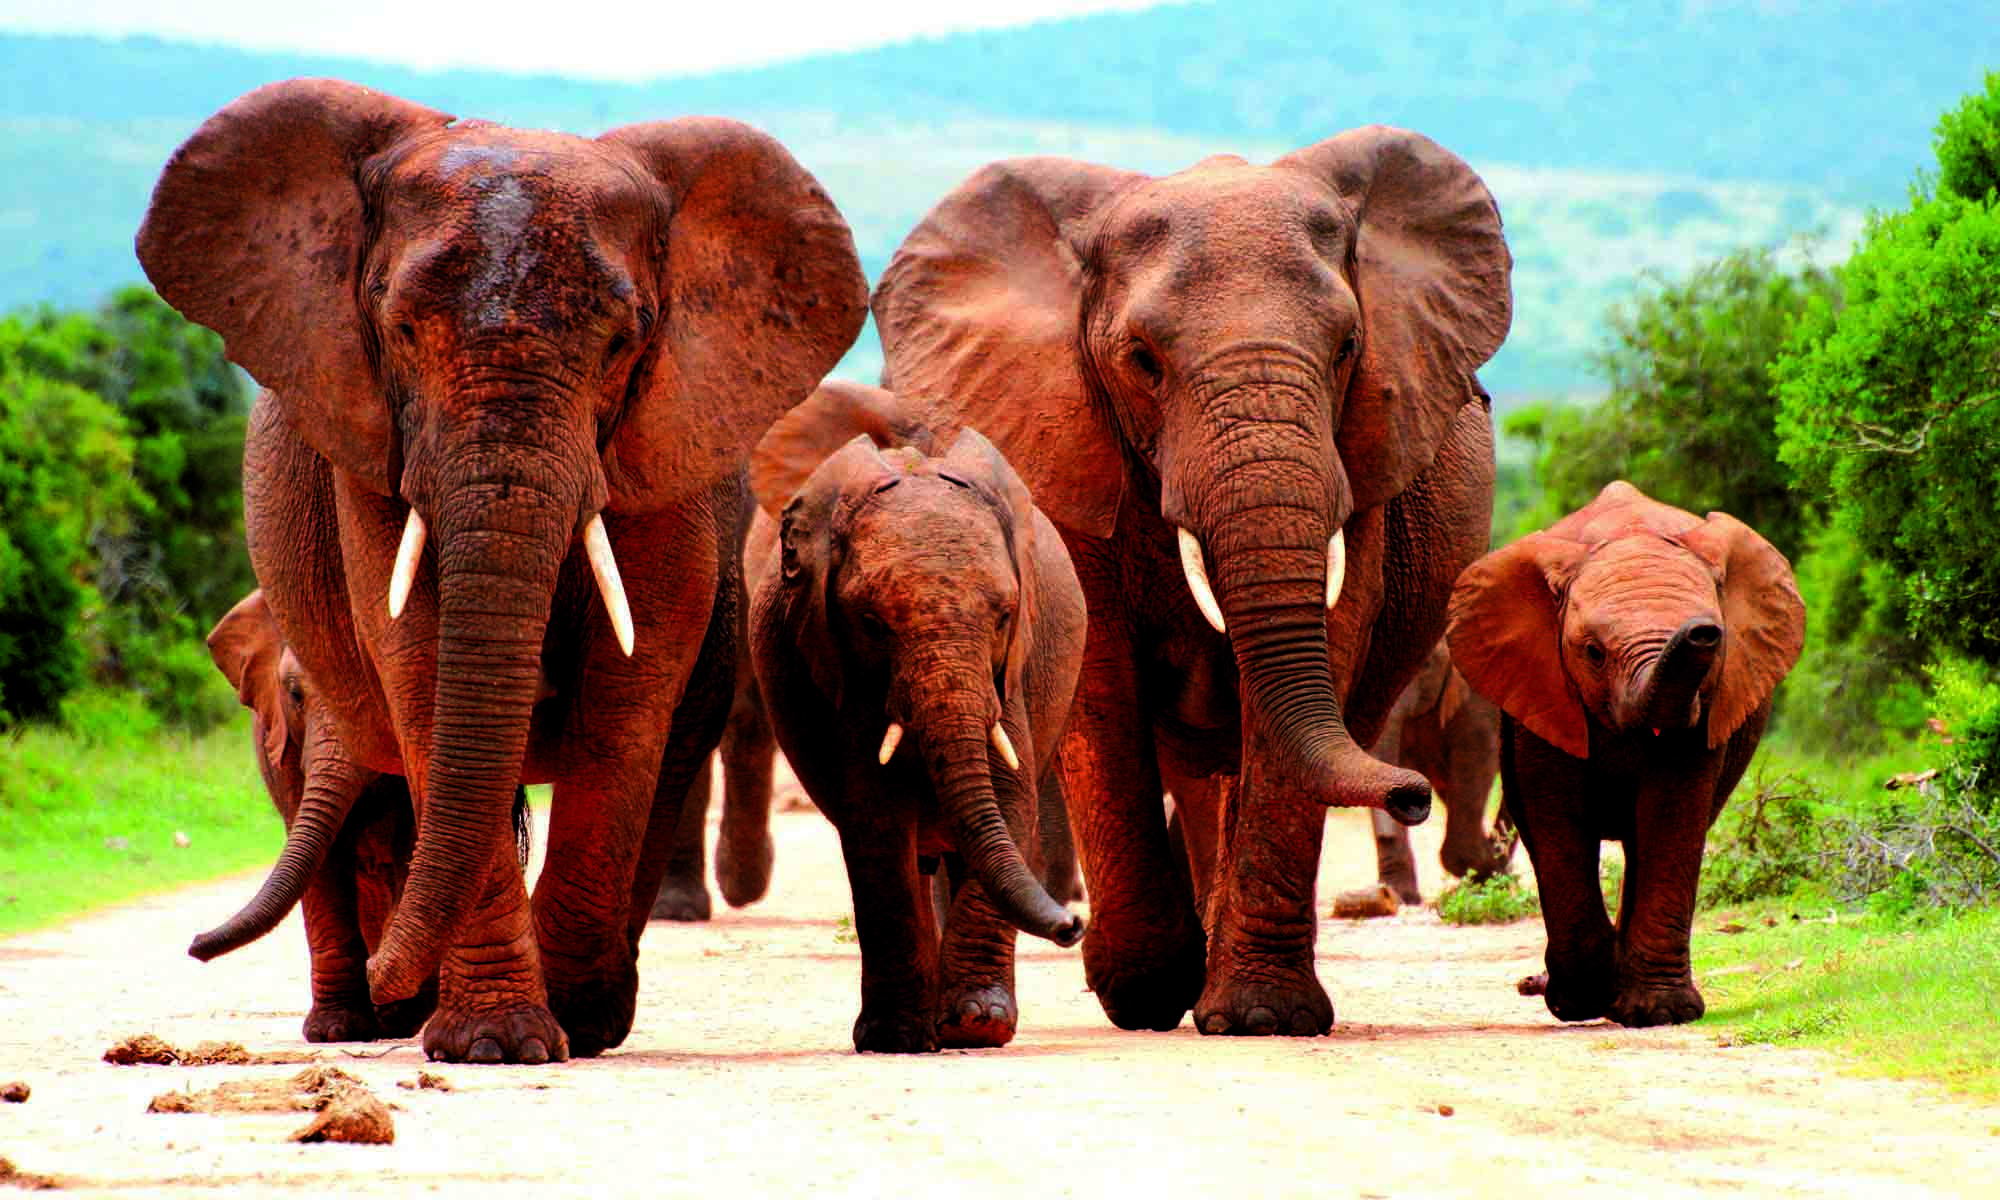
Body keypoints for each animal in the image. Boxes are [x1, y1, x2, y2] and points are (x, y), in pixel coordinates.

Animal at [137, 79, 867, 1062]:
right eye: (402, 330)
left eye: (623, 342)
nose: (190, 949)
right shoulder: (373, 444)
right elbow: (419, 666)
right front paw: (494, 1045)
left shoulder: (660, 447)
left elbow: (629, 691)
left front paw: (566, 1024)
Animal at [749, 380, 1087, 1052]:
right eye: (872, 623)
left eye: (1005, 616)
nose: (1073, 923)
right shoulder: (842, 668)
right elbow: (875, 819)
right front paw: (896, 1037)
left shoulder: (1010, 673)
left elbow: (1011, 800)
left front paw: (978, 1025)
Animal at [872, 126, 1512, 1035]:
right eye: (1142, 360)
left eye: (1348, 348)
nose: (1414, 794)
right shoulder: (1062, 444)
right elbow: (1101, 676)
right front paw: (1144, 992)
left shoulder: (1364, 462)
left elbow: (1324, 649)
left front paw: (1261, 1016)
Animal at [1445, 481, 1804, 1027]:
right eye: (1593, 652)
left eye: (1717, 644)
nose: (1702, 631)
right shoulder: (1543, 685)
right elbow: (1558, 819)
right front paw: (1577, 1002)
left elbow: (1670, 814)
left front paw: (1660, 1012)